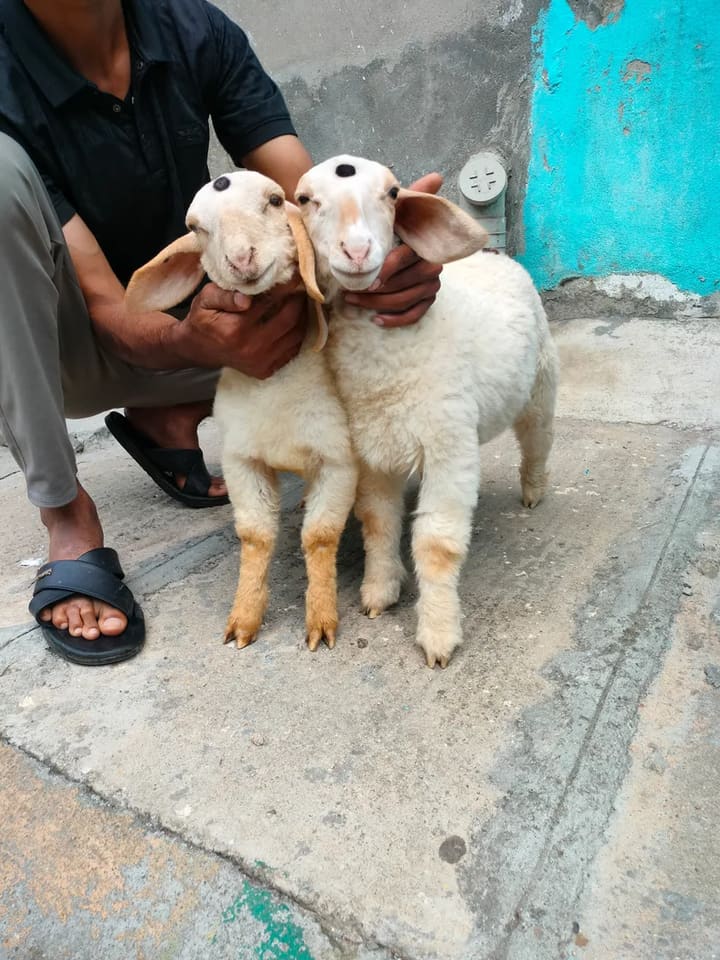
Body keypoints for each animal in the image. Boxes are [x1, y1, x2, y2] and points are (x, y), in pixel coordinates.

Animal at [124, 171, 357, 652]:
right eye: (196, 228)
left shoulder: (338, 461)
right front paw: (244, 618)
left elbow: (319, 536)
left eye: (274, 201)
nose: (241, 258)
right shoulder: (241, 462)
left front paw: (321, 619)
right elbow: (255, 535)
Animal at [292, 155, 559, 669]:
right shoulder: (372, 450)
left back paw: (534, 491)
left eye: (393, 193)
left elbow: (436, 544)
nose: (357, 251)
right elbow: (378, 521)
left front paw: (438, 634)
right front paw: (380, 590)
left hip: (541, 383)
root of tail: (493, 254)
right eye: (304, 199)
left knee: (538, 439)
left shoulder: (447, 451)